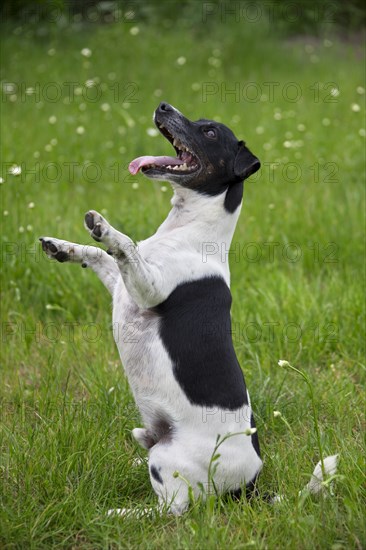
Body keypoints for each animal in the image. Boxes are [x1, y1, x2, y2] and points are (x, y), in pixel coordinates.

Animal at [40, 103, 338, 516]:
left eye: (210, 132)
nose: (163, 106)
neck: (187, 229)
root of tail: (249, 487)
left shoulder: (148, 288)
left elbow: (123, 245)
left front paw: (104, 227)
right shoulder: (122, 288)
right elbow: (100, 256)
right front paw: (63, 247)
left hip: (169, 460)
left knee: (172, 509)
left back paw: (120, 514)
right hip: (153, 441)